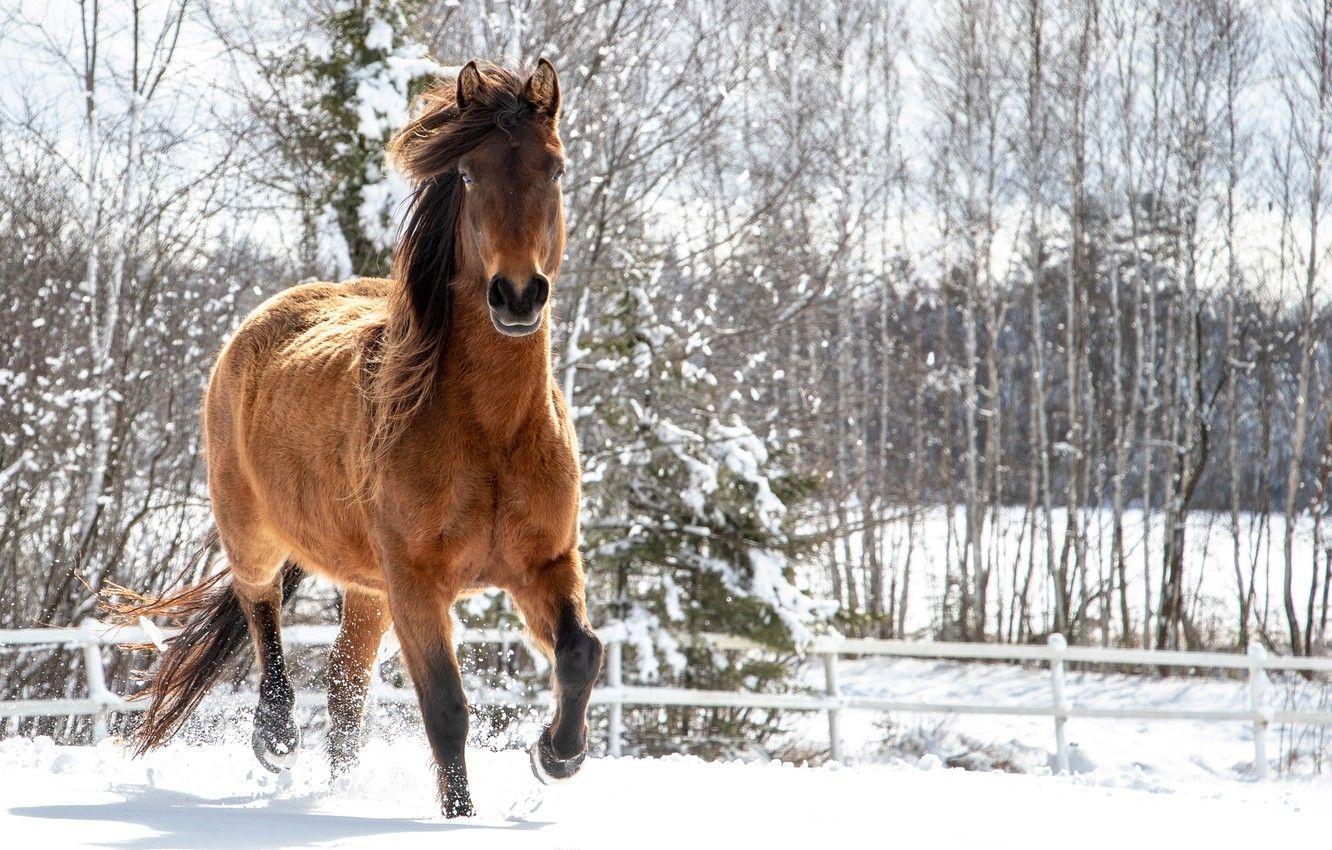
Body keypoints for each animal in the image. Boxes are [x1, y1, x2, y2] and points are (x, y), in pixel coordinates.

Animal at [109, 59, 602, 819]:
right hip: (255, 533)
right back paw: (275, 737)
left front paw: (555, 756)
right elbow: (446, 710)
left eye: (555, 168)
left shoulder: (544, 564)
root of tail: (260, 322)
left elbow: (581, 652)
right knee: (262, 611)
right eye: (467, 175)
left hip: (369, 589)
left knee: (345, 690)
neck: (490, 435)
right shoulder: (417, 584)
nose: (518, 295)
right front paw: (461, 819)